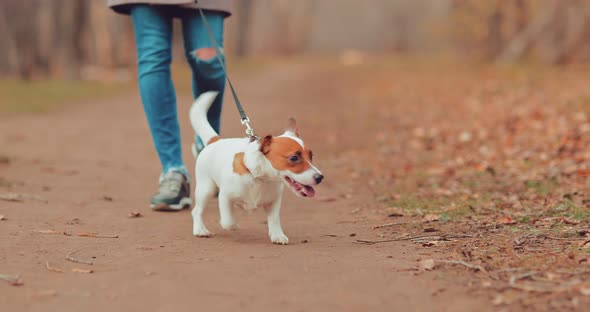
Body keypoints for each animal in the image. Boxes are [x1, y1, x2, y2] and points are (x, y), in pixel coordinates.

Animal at [191, 91, 324, 245]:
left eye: (311, 156)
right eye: (294, 158)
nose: (320, 177)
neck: (260, 178)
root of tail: (215, 141)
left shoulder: (274, 202)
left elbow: (274, 220)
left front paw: (277, 235)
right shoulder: (224, 197)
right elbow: (228, 221)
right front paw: (234, 223)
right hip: (206, 189)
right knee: (197, 211)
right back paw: (200, 230)